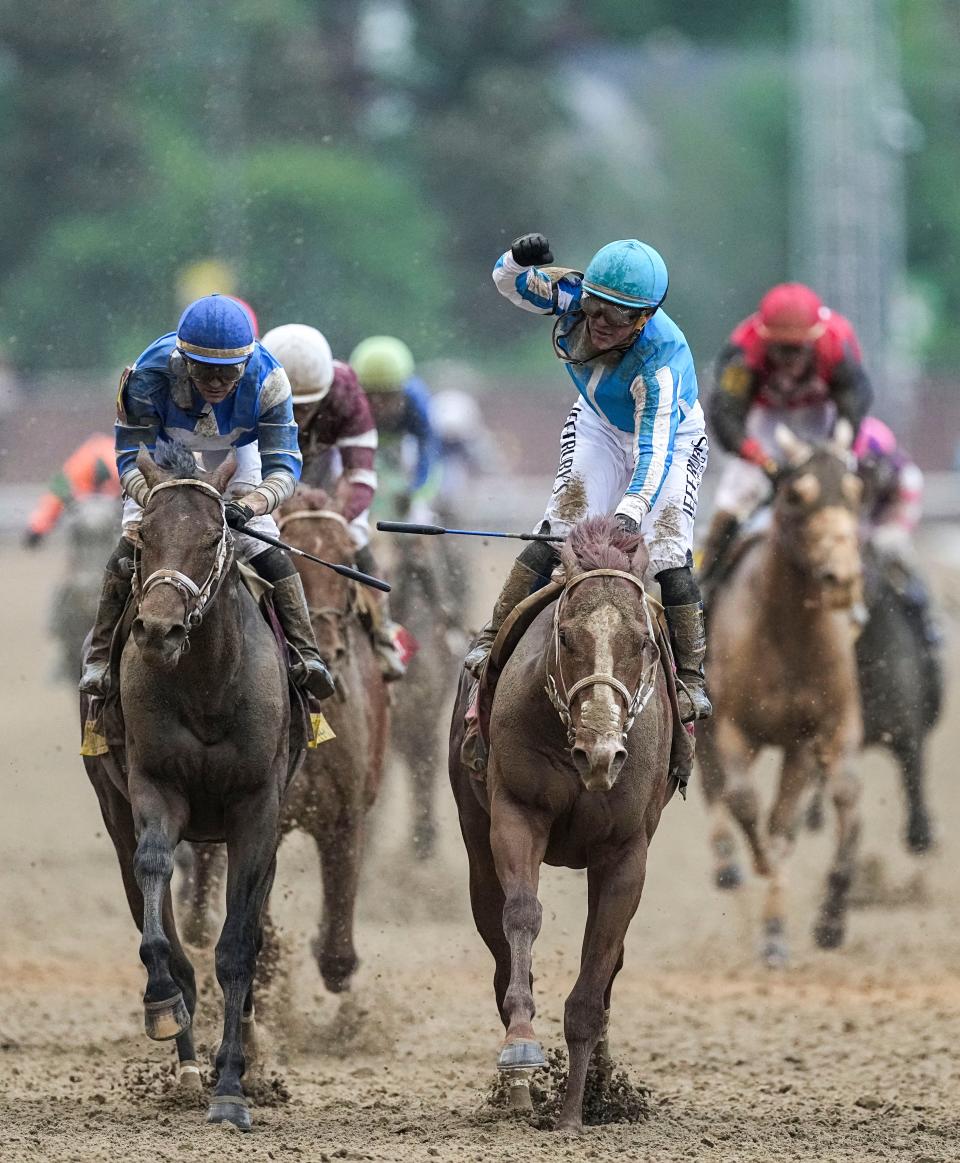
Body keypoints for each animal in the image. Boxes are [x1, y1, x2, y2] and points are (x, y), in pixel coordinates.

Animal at [80, 439, 297, 1130]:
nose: (157, 630)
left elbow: (237, 947)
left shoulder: (256, 812)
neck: (206, 683)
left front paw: (232, 1087)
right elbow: (159, 900)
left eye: (211, 537)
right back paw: (185, 1061)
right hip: (115, 807)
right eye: (144, 537)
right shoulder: (154, 787)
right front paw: (164, 1005)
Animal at [449, 518, 674, 1135]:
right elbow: (522, 915)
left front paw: (577, 1109)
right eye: (568, 638)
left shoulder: (626, 852)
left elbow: (597, 975)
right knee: (499, 943)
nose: (600, 753)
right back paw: (518, 1094)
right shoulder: (517, 813)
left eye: (642, 642)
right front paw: (522, 1046)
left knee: (609, 967)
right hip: (476, 845)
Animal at [693, 423, 865, 967]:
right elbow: (746, 802)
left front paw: (785, 929)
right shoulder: (729, 726)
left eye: (856, 492)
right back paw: (728, 864)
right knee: (714, 788)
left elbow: (795, 818)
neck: (788, 635)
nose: (841, 578)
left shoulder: (810, 733)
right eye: (795, 495)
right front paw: (763, 867)